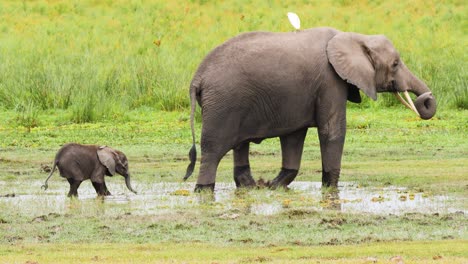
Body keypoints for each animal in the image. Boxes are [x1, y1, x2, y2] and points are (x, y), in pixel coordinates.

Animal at [182, 27, 436, 192]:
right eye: (395, 64)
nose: (425, 99)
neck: (354, 36)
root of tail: (197, 77)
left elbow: (294, 137)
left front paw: (274, 186)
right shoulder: (330, 81)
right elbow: (332, 131)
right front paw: (330, 187)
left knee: (239, 145)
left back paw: (251, 187)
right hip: (222, 105)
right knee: (213, 151)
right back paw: (204, 190)